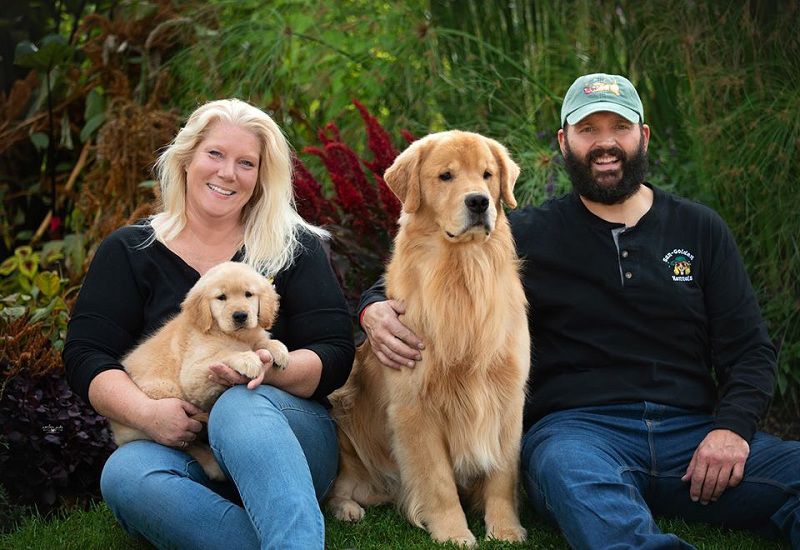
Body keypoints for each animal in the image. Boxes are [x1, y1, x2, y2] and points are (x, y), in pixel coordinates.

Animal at [109, 260, 290, 480]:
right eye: (221, 297)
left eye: (249, 294)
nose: (240, 316)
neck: (231, 334)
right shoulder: (193, 373)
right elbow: (224, 353)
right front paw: (246, 358)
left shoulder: (253, 336)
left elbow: (263, 341)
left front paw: (278, 349)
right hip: (165, 395)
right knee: (183, 443)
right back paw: (211, 462)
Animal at [326, 130, 532, 548]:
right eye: (446, 176)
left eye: (487, 175)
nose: (479, 201)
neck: (462, 272)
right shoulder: (415, 406)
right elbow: (437, 481)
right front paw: (453, 532)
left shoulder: (507, 397)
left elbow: (502, 474)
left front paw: (505, 529)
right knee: (339, 489)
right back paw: (349, 509)